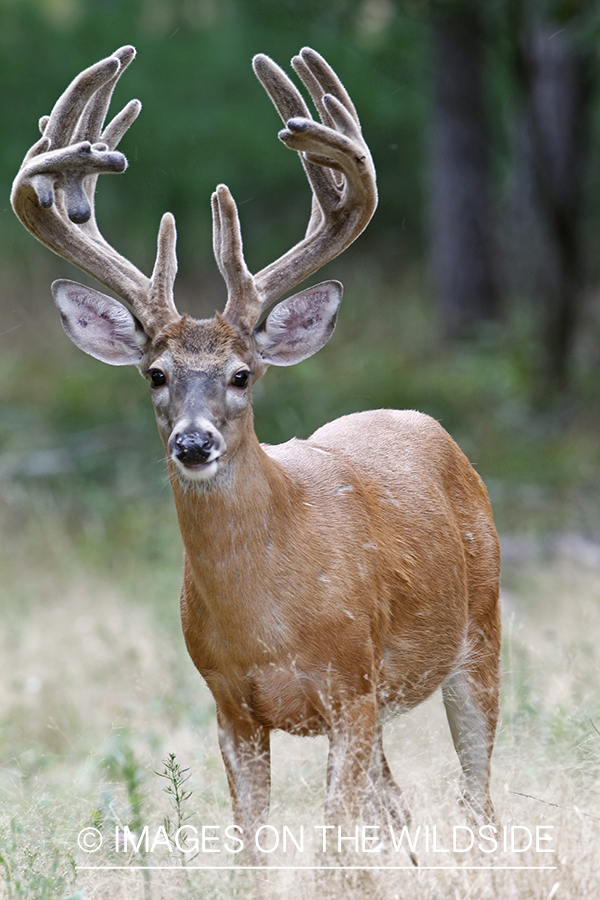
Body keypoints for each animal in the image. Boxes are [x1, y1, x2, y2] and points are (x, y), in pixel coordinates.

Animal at [12, 42, 502, 844]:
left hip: (480, 637)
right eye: (156, 374)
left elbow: (333, 850)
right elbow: (257, 848)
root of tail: (422, 421)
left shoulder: (351, 691)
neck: (269, 623)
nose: (193, 443)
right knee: (398, 810)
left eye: (242, 375)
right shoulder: (230, 708)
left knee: (477, 798)